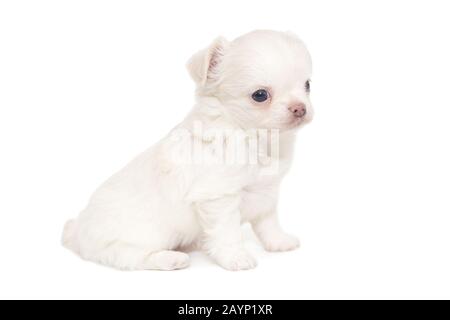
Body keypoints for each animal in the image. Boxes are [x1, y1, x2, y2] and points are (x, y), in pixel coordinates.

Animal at [62, 29, 312, 270]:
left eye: (308, 85)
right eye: (260, 95)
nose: (300, 108)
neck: (256, 139)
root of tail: (78, 231)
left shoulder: (267, 193)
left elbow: (268, 222)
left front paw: (279, 242)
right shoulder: (219, 198)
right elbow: (227, 233)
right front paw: (236, 258)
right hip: (136, 239)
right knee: (128, 257)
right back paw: (171, 259)